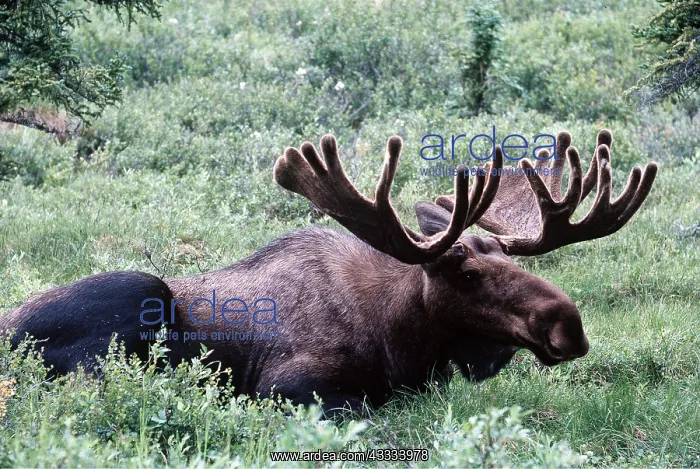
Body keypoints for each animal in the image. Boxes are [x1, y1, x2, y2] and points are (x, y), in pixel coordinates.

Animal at [0, 129, 657, 415]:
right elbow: (367, 406)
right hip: (138, 290)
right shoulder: (287, 384)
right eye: (465, 274)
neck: (403, 339)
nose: (569, 325)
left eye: (507, 258)